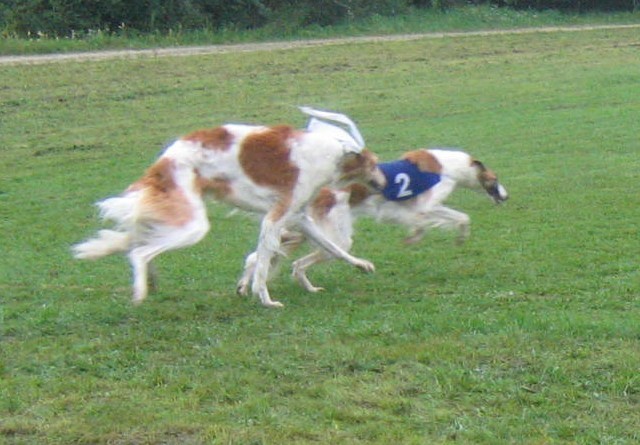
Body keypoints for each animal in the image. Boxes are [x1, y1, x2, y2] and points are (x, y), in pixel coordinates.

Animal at [74, 109, 384, 306]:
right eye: (375, 164)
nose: (383, 183)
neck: (331, 155)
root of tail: (167, 156)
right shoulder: (274, 219)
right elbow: (262, 265)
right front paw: (266, 299)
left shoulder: (298, 218)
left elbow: (335, 248)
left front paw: (361, 264)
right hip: (193, 225)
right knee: (139, 252)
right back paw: (140, 292)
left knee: (139, 241)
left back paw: (149, 279)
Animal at [238, 147, 508, 292]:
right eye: (495, 179)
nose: (506, 196)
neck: (447, 166)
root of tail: (318, 193)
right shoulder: (424, 206)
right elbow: (447, 218)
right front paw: (418, 237)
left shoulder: (411, 209)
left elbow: (458, 218)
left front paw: (454, 236)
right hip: (336, 239)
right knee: (298, 263)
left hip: (308, 233)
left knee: (264, 259)